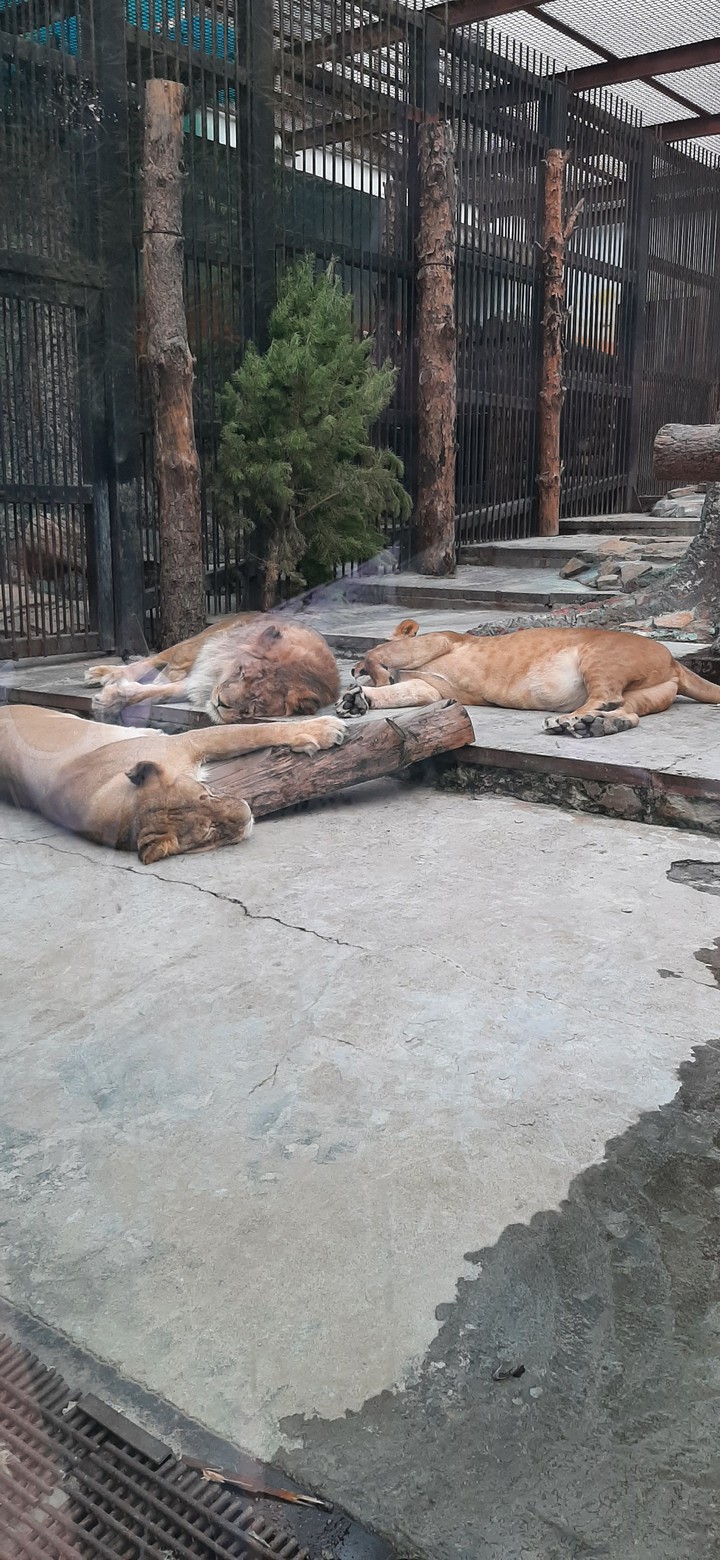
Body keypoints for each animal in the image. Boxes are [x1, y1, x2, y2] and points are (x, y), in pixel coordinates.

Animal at [0, 704, 346, 863]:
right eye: (210, 831)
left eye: (206, 795)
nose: (247, 814)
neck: (124, 811)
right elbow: (251, 734)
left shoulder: (187, 742)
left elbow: (253, 731)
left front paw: (325, 728)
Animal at [85, 614, 341, 723]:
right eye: (241, 671)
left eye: (256, 700)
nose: (220, 703)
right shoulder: (206, 676)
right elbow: (155, 686)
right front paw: (109, 697)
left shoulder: (205, 684)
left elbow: (156, 693)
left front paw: (110, 700)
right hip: (196, 643)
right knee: (154, 659)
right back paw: (102, 674)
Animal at [336, 619, 720, 736]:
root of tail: (673, 660)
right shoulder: (429, 687)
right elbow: (401, 692)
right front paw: (357, 700)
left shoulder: (439, 640)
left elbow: (381, 653)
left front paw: (365, 677)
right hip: (650, 693)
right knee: (628, 711)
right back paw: (596, 726)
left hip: (599, 658)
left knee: (606, 696)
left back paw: (567, 721)